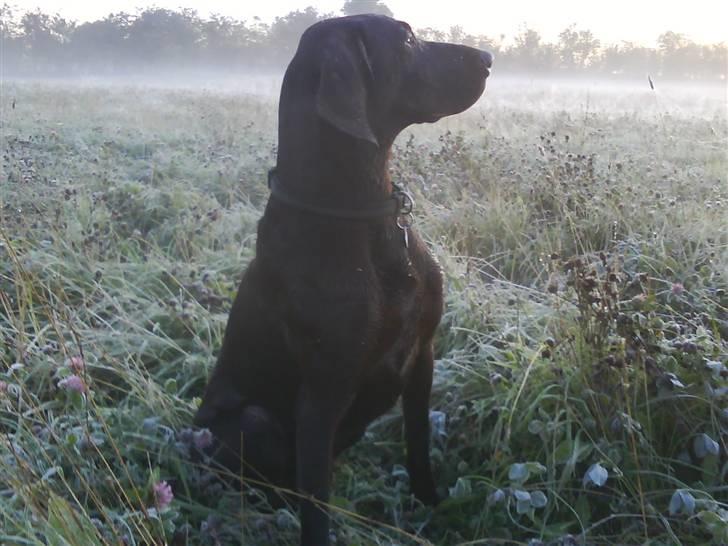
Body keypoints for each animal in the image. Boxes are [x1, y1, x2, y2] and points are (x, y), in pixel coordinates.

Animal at [193, 13, 492, 544]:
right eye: (407, 39)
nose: (488, 58)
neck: (362, 216)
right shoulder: (322, 393)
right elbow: (316, 509)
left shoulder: (422, 355)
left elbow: (418, 444)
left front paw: (431, 507)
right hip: (251, 421)